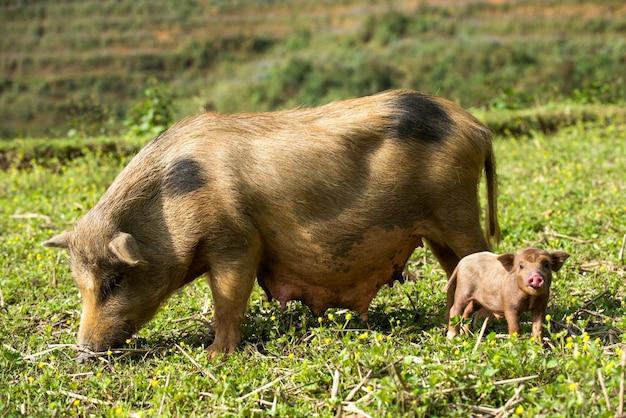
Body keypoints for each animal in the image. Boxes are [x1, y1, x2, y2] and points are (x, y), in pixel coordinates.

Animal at [44, 90, 500, 358]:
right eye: (79, 284)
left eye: (114, 281)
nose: (83, 353)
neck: (171, 202)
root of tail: (478, 128)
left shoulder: (235, 239)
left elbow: (228, 299)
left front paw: (215, 356)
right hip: (440, 223)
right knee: (457, 267)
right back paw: (450, 323)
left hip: (458, 208)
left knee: (483, 256)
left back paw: (477, 327)